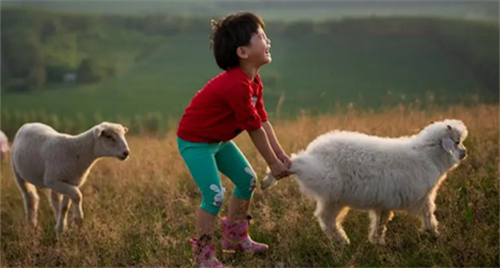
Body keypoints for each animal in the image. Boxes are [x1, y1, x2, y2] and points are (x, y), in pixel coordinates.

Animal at [262, 119, 468, 245]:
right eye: (457, 142)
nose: (464, 153)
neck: (428, 155)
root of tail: (315, 149)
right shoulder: (421, 197)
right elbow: (428, 215)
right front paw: (434, 234)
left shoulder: (386, 201)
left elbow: (381, 221)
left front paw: (377, 241)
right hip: (322, 176)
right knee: (297, 163)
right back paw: (269, 179)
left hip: (334, 198)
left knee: (326, 219)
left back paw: (341, 240)